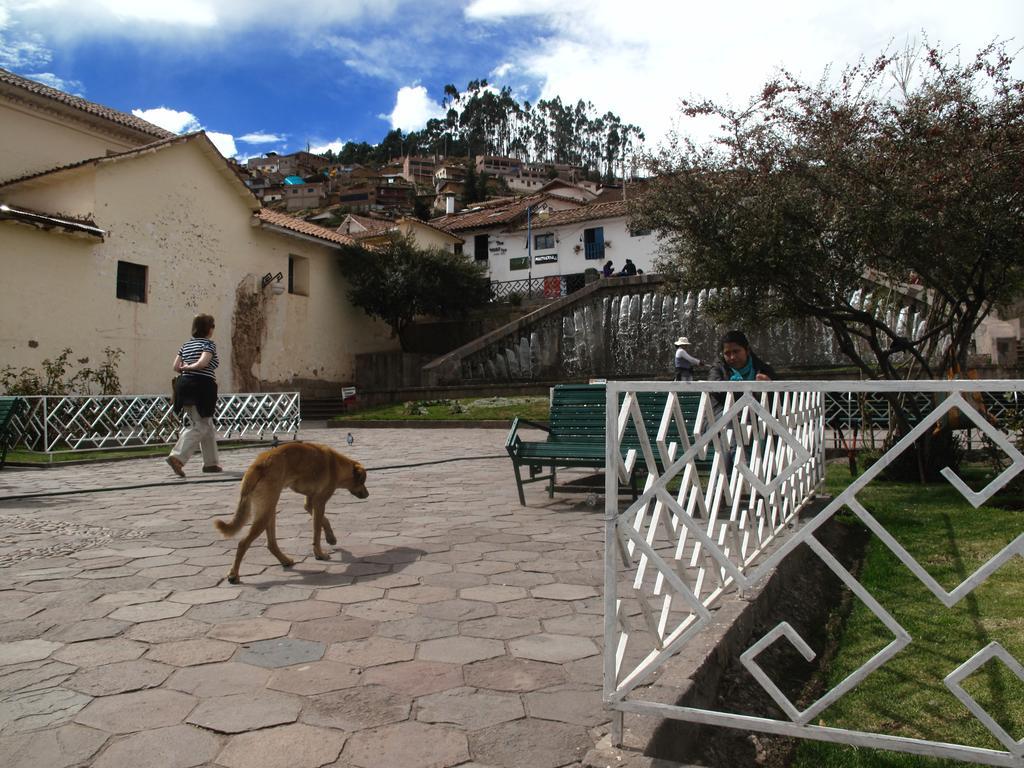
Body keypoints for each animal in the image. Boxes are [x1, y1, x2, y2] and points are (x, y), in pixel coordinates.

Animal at [211, 442, 368, 585]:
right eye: (363, 482)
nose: (367, 494)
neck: (338, 464)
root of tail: (257, 465)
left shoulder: (310, 503)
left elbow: (325, 520)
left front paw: (331, 538)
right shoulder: (319, 502)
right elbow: (317, 531)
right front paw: (320, 553)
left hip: (269, 509)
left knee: (271, 543)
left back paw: (285, 560)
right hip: (266, 511)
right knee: (243, 543)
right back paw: (234, 575)